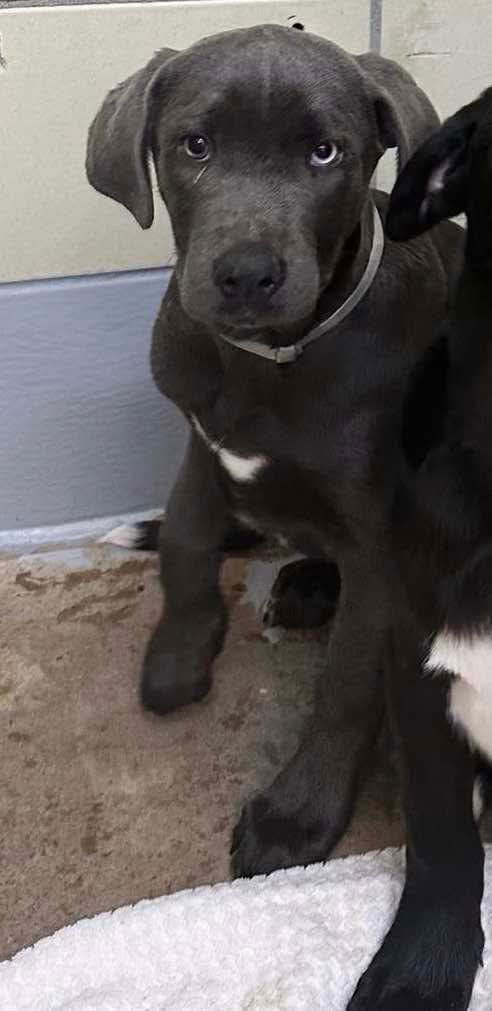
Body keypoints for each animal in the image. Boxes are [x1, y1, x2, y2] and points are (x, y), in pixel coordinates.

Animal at [86, 25, 464, 1000]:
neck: (275, 361)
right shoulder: (201, 449)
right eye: (194, 146)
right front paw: (180, 656)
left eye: (325, 153)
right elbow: (185, 548)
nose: (247, 274)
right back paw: (296, 583)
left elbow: (345, 690)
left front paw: (298, 816)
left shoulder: (378, 546)